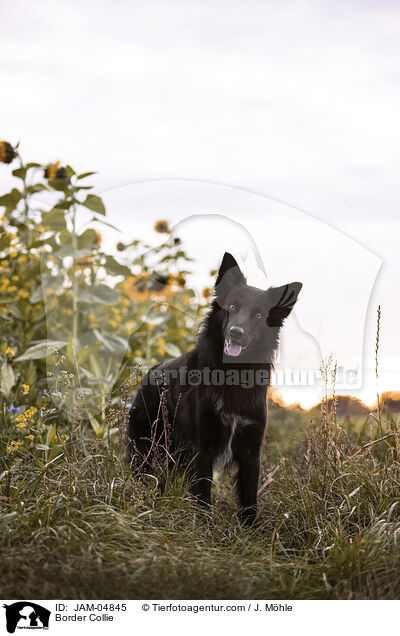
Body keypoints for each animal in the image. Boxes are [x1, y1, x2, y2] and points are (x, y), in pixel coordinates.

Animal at [129, 253, 304, 528]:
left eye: (258, 315)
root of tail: (151, 370)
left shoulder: (251, 449)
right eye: (231, 307)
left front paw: (251, 531)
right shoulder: (202, 447)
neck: (232, 374)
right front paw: (203, 527)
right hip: (146, 448)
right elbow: (203, 493)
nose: (236, 332)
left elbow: (249, 496)